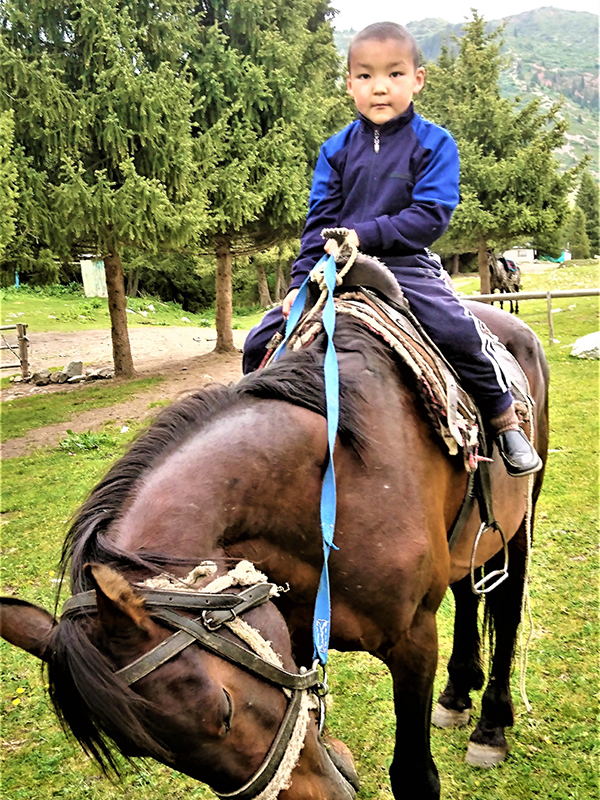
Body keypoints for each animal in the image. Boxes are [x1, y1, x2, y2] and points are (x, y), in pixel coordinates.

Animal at [0, 302, 548, 800]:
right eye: (144, 750)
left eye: (223, 712)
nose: (324, 796)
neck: (331, 488)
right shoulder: (298, 635)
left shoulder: (413, 640)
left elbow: (415, 778)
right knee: (469, 593)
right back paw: (457, 694)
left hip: (519, 521)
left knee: (505, 607)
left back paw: (492, 725)